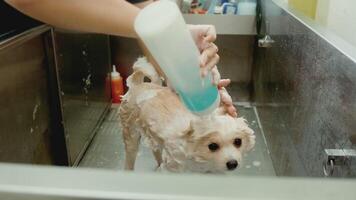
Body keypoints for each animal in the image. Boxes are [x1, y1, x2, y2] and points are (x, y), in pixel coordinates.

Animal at [119, 57, 256, 173]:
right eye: (212, 146)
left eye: (238, 141)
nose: (232, 163)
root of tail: (139, 85)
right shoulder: (172, 166)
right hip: (130, 134)